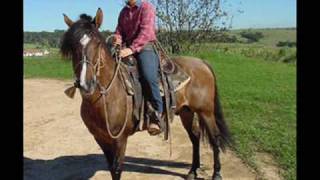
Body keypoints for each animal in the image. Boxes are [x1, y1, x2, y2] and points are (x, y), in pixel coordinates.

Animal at [60, 8, 231, 180]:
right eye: (73, 47)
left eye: (98, 45)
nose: (86, 85)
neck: (106, 98)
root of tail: (202, 63)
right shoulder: (100, 138)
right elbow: (111, 168)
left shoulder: (120, 139)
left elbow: (117, 169)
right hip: (186, 111)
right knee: (195, 137)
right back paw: (192, 171)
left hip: (206, 112)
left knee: (215, 138)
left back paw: (216, 173)